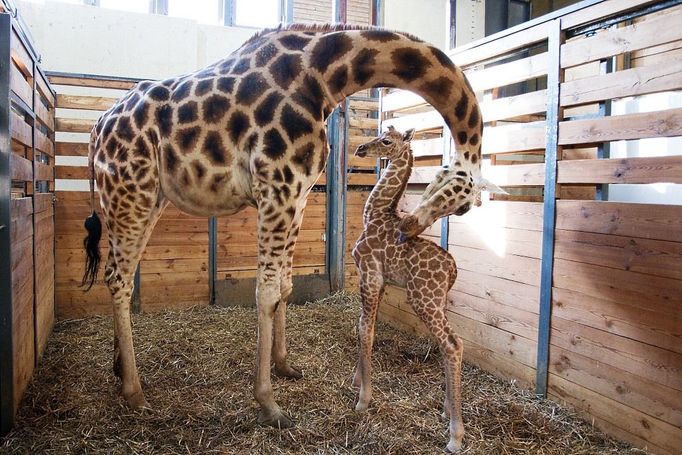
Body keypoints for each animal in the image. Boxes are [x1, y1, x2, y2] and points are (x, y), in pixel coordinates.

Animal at [350, 127, 468, 452]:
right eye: (380, 133)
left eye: (386, 141)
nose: (361, 149)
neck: (374, 213)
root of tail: (452, 270)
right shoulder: (380, 282)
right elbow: (366, 325)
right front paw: (357, 380)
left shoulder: (369, 274)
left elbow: (366, 329)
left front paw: (363, 401)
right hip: (436, 300)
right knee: (449, 343)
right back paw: (446, 410)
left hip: (422, 298)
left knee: (452, 343)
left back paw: (455, 437)